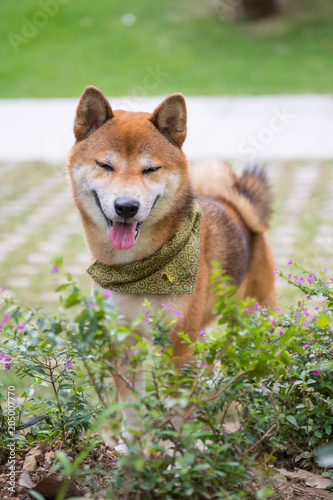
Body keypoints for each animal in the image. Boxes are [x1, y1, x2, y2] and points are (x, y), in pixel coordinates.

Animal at [67, 86, 274, 450]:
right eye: (105, 165)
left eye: (150, 170)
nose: (126, 207)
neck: (136, 270)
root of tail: (234, 205)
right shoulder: (123, 340)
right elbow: (131, 405)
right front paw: (132, 449)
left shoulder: (178, 346)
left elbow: (178, 412)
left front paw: (178, 456)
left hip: (257, 318)